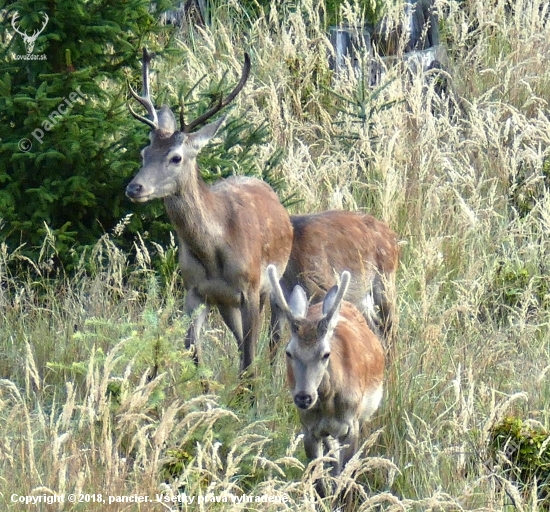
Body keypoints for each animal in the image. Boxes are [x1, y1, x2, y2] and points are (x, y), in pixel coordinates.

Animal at [127, 49, 296, 372]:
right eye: (144, 152)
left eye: (176, 157)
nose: (134, 188)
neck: (214, 250)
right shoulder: (195, 290)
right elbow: (193, 350)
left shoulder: (250, 289)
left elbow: (249, 356)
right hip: (225, 302)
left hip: (274, 281)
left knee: (273, 336)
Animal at [270, 264, 386, 492]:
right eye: (289, 352)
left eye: (325, 354)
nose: (304, 397)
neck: (329, 404)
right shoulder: (309, 429)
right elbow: (319, 483)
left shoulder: (352, 425)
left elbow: (345, 479)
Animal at [272, 210, 402, 358]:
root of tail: (393, 236)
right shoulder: (277, 304)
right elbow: (274, 344)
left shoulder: (320, 290)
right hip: (361, 298)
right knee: (376, 328)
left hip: (384, 288)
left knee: (390, 329)